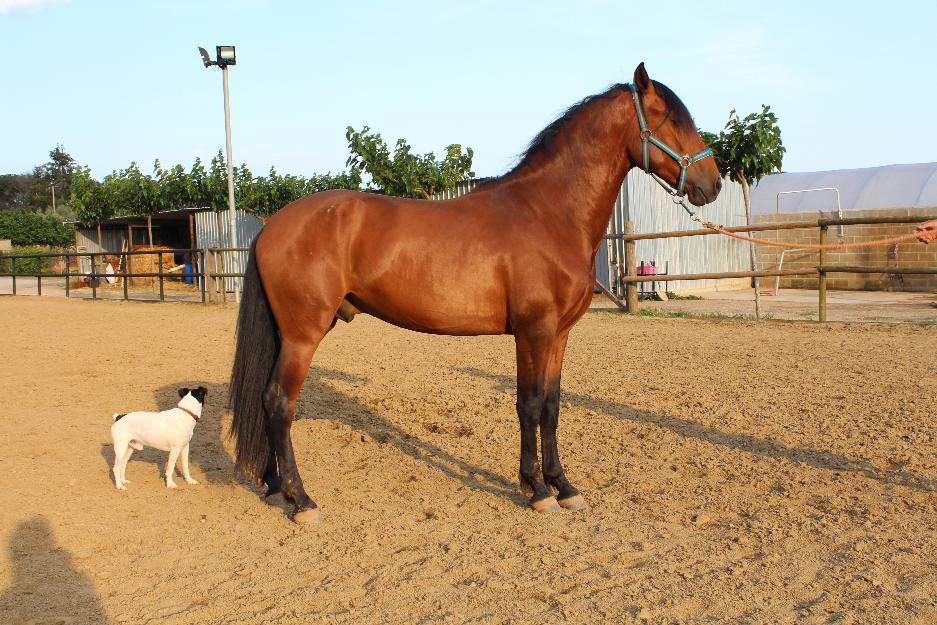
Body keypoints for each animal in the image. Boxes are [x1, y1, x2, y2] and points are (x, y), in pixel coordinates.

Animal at [229, 63, 724, 520]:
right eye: (671, 119)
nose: (713, 183)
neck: (549, 211)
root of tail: (274, 226)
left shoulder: (559, 334)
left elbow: (552, 406)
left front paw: (563, 486)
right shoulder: (533, 331)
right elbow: (529, 404)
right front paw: (537, 490)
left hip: (287, 335)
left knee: (266, 400)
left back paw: (274, 487)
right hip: (302, 335)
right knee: (278, 403)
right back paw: (302, 500)